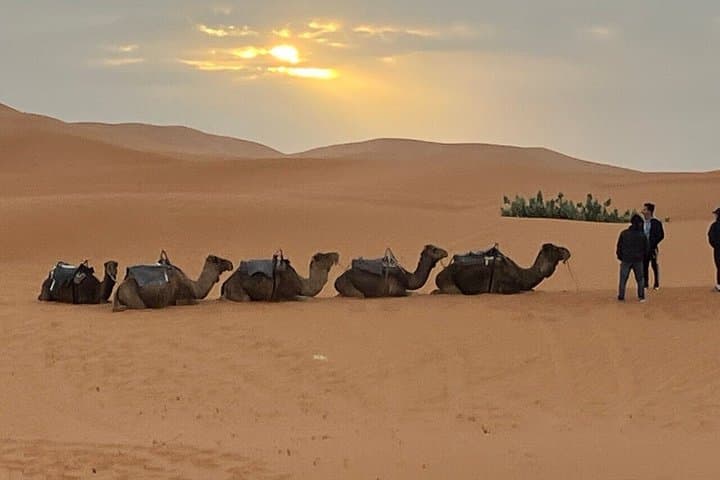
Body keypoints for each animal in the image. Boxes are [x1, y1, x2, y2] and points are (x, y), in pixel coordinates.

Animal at [433, 243, 571, 295]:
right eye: (556, 249)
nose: (567, 251)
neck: (521, 275)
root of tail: (438, 275)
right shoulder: (505, 288)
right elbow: (523, 291)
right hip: (450, 285)